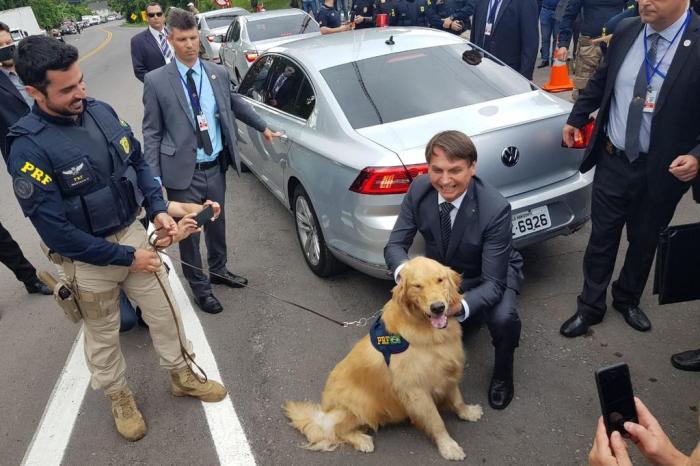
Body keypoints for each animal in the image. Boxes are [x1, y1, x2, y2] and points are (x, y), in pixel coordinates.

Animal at [284, 256, 482, 460]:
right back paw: (362, 440)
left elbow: (457, 398)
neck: (428, 331)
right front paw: (448, 446)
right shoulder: (416, 390)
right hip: (360, 404)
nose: (438, 308)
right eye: (417, 286)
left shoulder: (447, 371)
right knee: (335, 430)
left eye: (440, 280)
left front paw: (468, 412)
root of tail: (323, 413)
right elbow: (436, 421)